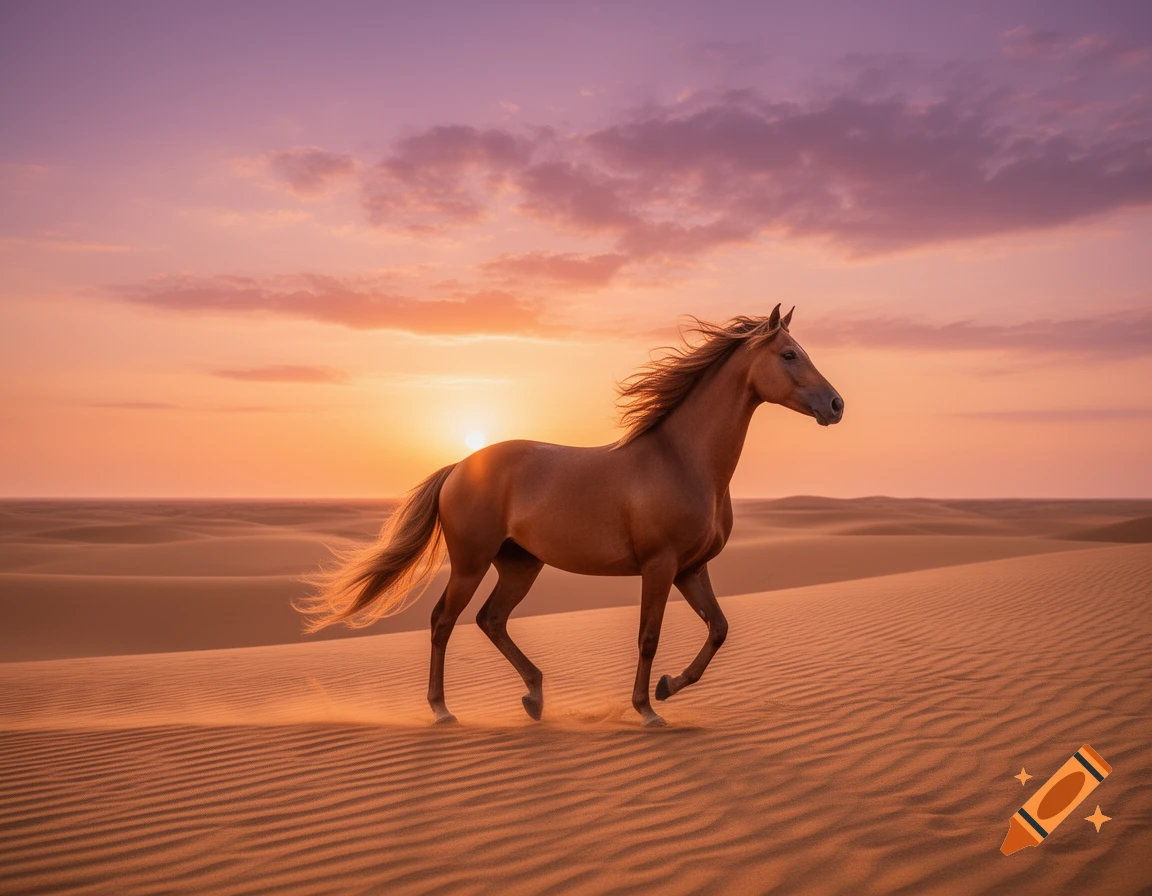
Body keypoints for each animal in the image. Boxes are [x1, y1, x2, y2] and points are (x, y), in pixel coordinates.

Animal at [297, 304, 844, 727]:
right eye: (789, 354)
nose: (836, 405)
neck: (682, 460)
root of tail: (460, 467)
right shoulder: (659, 566)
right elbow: (648, 637)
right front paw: (647, 709)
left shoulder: (691, 568)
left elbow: (719, 629)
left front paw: (669, 687)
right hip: (471, 564)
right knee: (443, 621)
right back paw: (443, 710)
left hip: (520, 565)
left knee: (491, 619)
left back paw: (535, 696)